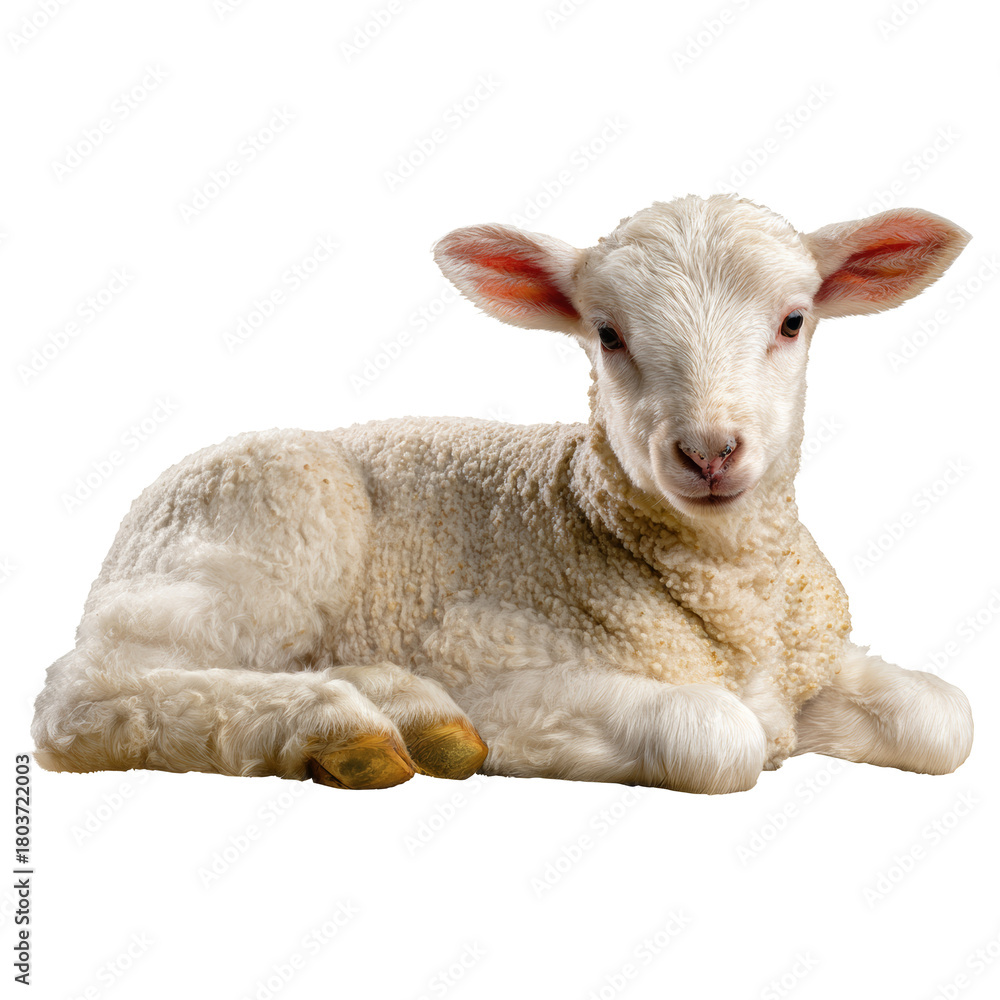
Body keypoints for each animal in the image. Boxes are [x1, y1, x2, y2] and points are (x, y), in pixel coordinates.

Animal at [31, 193, 974, 794]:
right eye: (608, 334)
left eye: (793, 321)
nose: (709, 452)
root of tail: (143, 507)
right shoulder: (495, 661)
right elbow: (720, 736)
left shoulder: (810, 655)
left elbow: (945, 719)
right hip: (276, 525)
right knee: (89, 694)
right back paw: (340, 726)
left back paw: (404, 711)